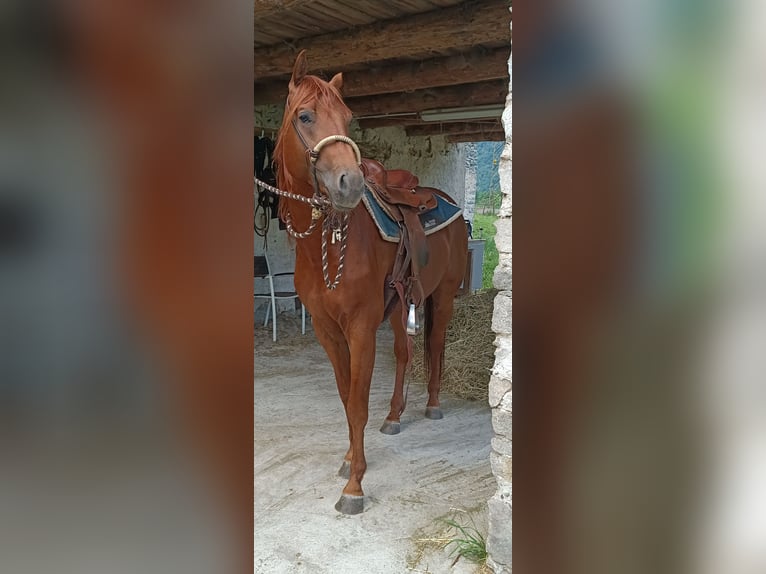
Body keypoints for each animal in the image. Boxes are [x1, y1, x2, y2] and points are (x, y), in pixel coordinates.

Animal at [272, 50, 468, 515]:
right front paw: (348, 460)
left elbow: (358, 402)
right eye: (304, 116)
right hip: (400, 307)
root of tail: (445, 200)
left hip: (443, 296)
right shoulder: (327, 330)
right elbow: (347, 398)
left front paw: (354, 486)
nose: (350, 183)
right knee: (403, 354)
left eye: (347, 118)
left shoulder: (360, 327)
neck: (325, 248)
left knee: (434, 345)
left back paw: (432, 405)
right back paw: (395, 416)